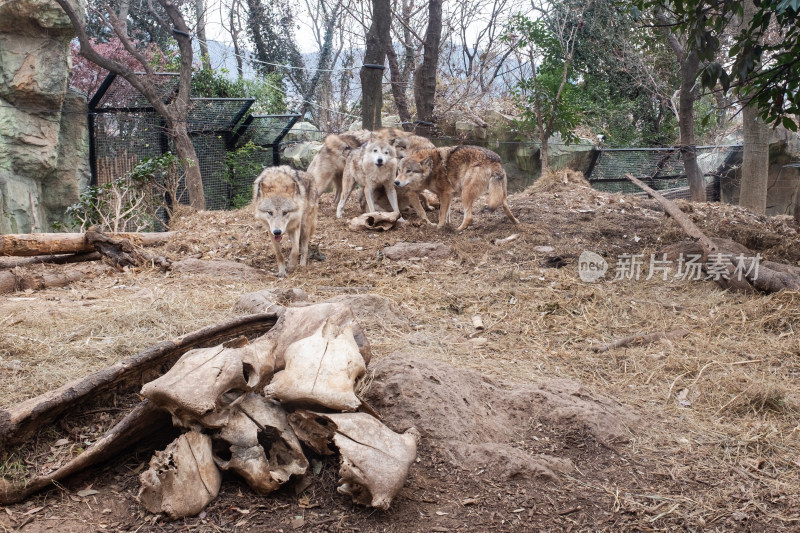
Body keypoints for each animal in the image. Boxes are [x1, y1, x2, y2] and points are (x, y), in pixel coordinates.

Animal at [392, 144, 520, 230]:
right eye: (399, 170)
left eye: (408, 171)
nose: (396, 182)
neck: (433, 167)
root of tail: (495, 160)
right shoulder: (446, 195)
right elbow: (447, 212)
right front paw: (447, 224)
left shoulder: (445, 193)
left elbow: (442, 213)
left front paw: (440, 226)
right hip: (501, 195)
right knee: (505, 207)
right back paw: (516, 222)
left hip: (465, 193)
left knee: (469, 217)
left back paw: (459, 229)